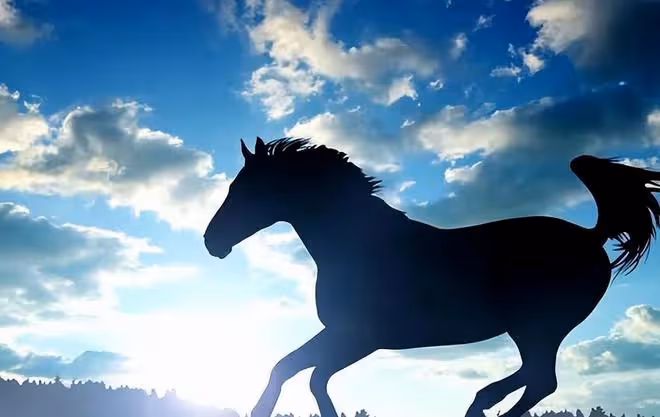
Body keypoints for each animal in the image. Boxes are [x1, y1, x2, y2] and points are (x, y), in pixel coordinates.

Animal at [204, 137, 660, 417]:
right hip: (536, 330)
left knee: (540, 381)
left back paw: (479, 403)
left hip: (538, 327)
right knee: (538, 381)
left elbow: (313, 377)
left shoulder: (361, 337)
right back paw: (482, 402)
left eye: (245, 191)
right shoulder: (343, 333)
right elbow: (287, 367)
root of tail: (592, 235)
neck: (358, 245)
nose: (212, 241)